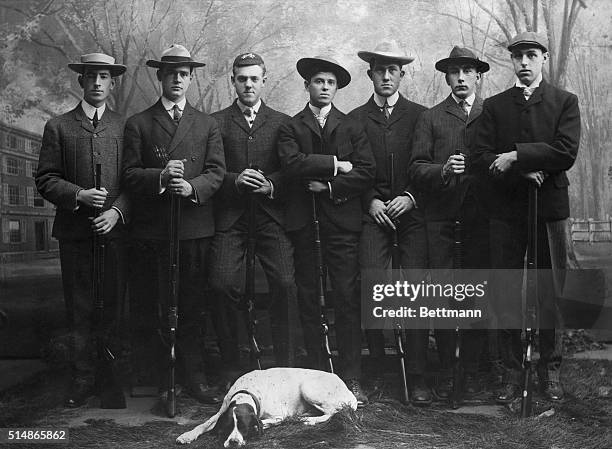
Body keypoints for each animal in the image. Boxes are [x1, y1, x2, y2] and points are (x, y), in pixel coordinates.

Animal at [176, 368, 358, 444]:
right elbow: (203, 424)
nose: (233, 442)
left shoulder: (280, 415)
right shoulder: (222, 411)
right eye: (228, 427)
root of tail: (350, 392)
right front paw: (187, 435)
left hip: (308, 387)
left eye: (243, 427)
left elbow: (266, 422)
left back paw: (311, 420)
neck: (246, 392)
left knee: (334, 411)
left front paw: (261, 426)